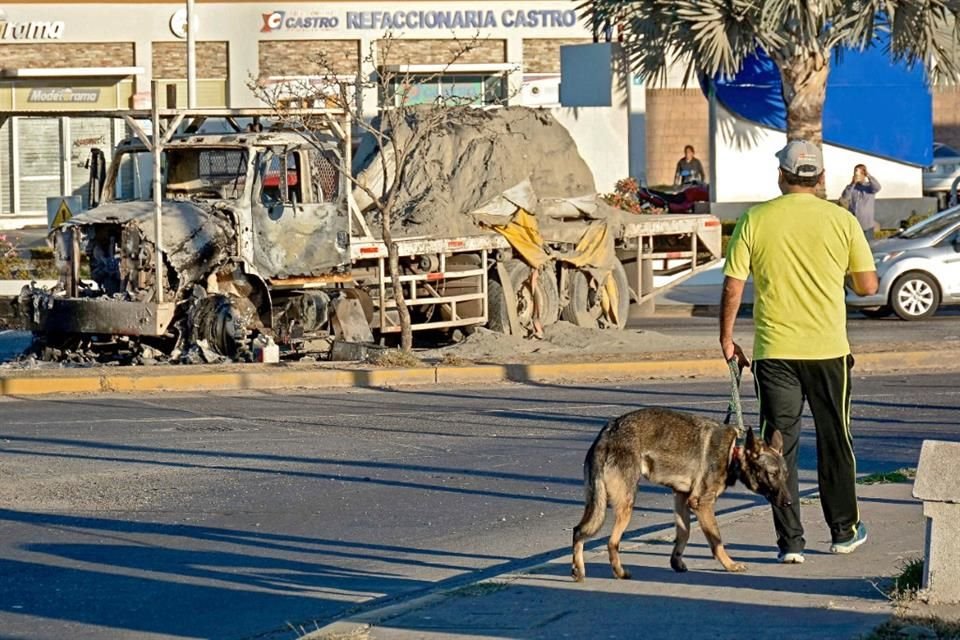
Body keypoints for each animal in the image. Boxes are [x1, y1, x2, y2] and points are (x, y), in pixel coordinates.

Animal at [568, 410, 788, 580]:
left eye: (785, 475)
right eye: (772, 474)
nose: (788, 502)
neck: (734, 450)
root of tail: (607, 433)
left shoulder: (682, 499)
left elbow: (684, 533)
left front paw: (676, 561)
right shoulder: (702, 504)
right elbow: (716, 541)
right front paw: (730, 565)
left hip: (596, 503)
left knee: (578, 531)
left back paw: (578, 569)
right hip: (625, 505)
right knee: (611, 542)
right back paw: (619, 572)